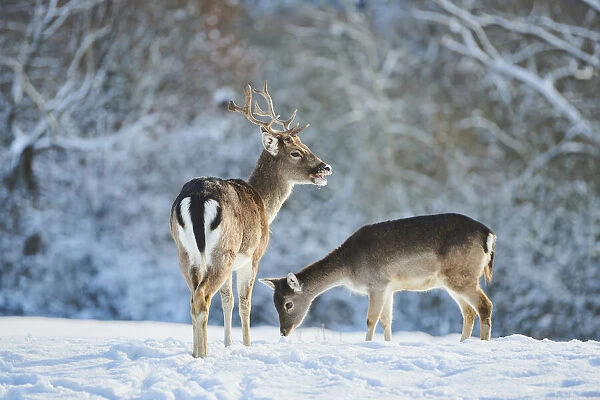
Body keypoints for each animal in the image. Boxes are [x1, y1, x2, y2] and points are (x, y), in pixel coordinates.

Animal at [170, 80, 332, 356]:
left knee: (194, 298)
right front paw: (246, 345)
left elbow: (228, 300)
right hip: (223, 251)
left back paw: (195, 353)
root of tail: (198, 198)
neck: (265, 204)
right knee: (202, 298)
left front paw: (227, 344)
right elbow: (246, 302)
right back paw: (203, 355)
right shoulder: (253, 256)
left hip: (186, 253)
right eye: (295, 152)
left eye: (306, 145)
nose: (325, 167)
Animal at [262, 214, 496, 342]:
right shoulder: (389, 287)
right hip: (453, 281)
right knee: (468, 312)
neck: (349, 268)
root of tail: (489, 235)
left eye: (288, 304)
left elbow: (371, 319)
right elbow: (387, 320)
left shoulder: (377, 284)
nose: (283, 332)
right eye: (274, 303)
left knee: (485, 305)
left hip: (462, 276)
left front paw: (368, 344)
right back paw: (463, 343)